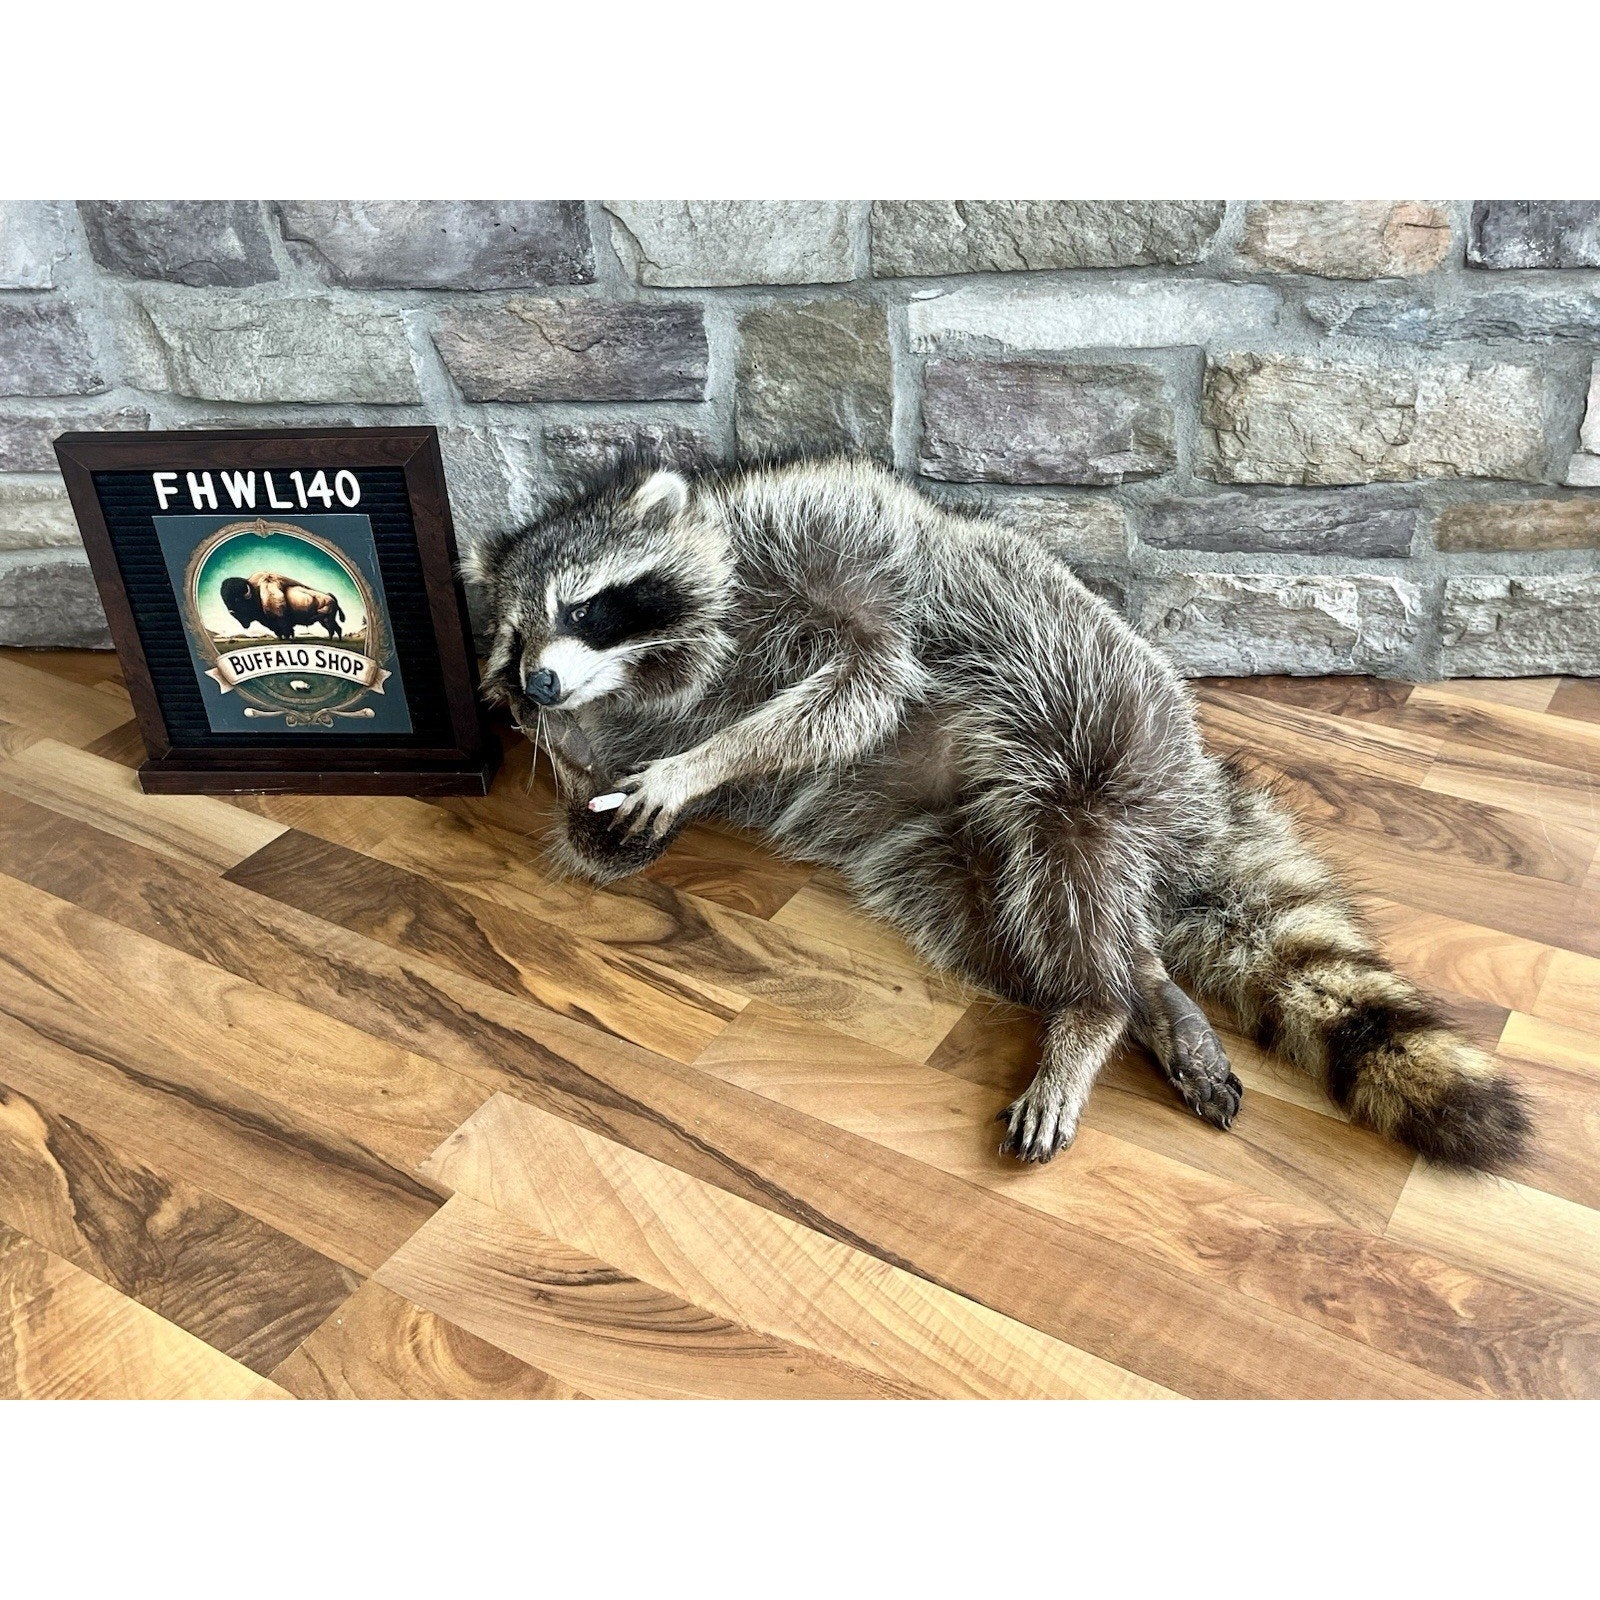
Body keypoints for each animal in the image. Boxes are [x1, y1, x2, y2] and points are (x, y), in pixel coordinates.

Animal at [470, 454, 1531, 1170]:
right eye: (513, 641)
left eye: (585, 608)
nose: (539, 686)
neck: (670, 669)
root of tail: (1194, 789)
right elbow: (615, 834)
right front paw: (591, 773)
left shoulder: (829, 554)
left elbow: (862, 684)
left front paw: (702, 760)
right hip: (935, 849)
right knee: (1017, 930)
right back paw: (1144, 989)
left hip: (1100, 729)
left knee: (1073, 864)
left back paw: (1097, 1012)